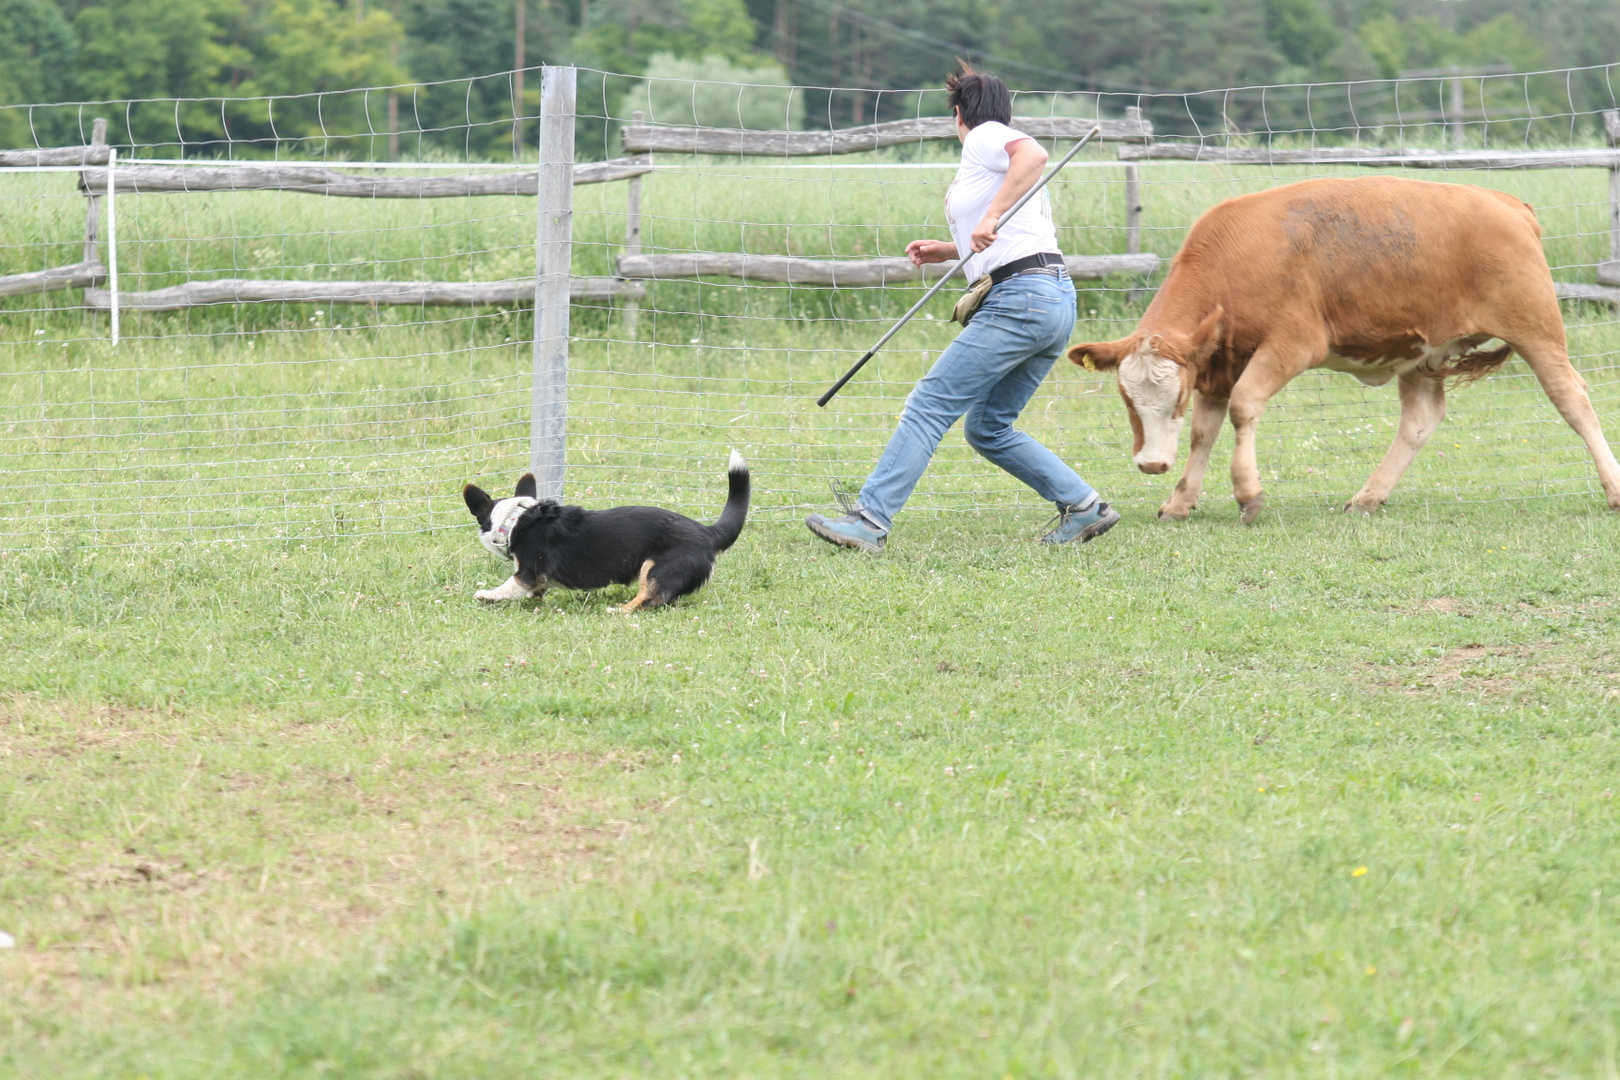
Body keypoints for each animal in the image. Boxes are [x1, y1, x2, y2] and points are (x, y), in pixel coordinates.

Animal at [466, 450, 748, 612]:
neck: (516, 518)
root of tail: (707, 531)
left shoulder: (528, 574)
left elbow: (509, 585)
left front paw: (486, 595)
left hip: (656, 569)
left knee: (647, 600)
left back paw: (618, 610)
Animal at [1062, 177, 1620, 524]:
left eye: (1173, 396)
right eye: (1127, 398)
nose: (1151, 463)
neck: (1237, 260)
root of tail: (1507, 203)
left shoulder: (1291, 344)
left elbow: (1244, 407)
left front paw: (1248, 492)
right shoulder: (1216, 362)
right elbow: (1204, 433)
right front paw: (1180, 501)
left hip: (1538, 332)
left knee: (1573, 400)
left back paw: (1613, 489)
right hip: (1424, 354)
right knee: (1419, 421)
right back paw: (1369, 496)